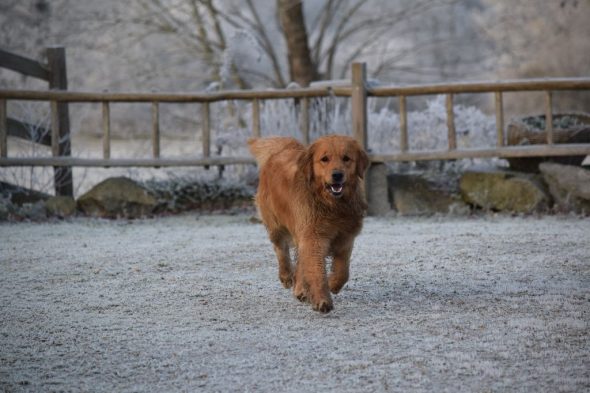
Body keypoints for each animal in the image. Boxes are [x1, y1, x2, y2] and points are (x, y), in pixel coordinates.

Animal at [249, 135, 370, 312]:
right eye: (325, 159)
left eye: (346, 158)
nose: (337, 175)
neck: (331, 205)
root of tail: (283, 148)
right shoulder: (313, 238)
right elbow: (316, 270)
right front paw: (322, 300)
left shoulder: (346, 237)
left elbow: (343, 270)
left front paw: (333, 284)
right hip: (276, 225)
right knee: (280, 249)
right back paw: (286, 276)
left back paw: (300, 290)